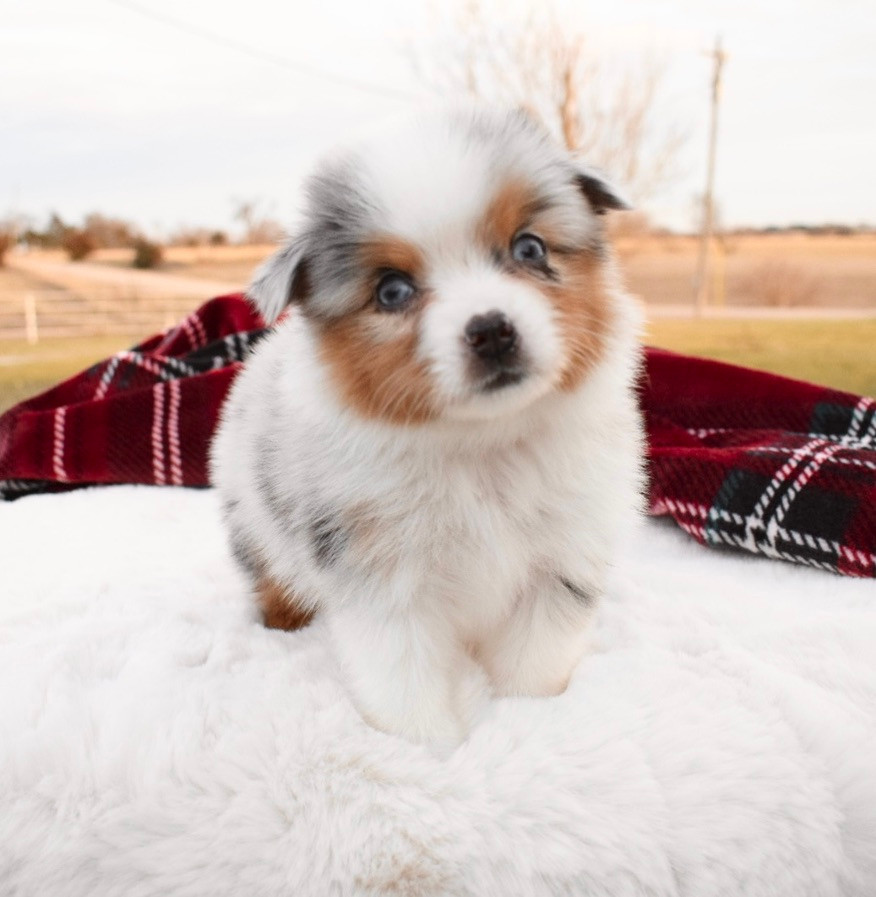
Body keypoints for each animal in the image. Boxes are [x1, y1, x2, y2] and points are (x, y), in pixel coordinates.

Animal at [210, 105, 648, 748]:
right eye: (392, 290)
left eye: (530, 247)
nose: (492, 330)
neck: (480, 447)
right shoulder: (383, 581)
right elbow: (403, 681)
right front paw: (426, 749)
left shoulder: (560, 564)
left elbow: (532, 667)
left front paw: (530, 721)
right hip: (251, 517)